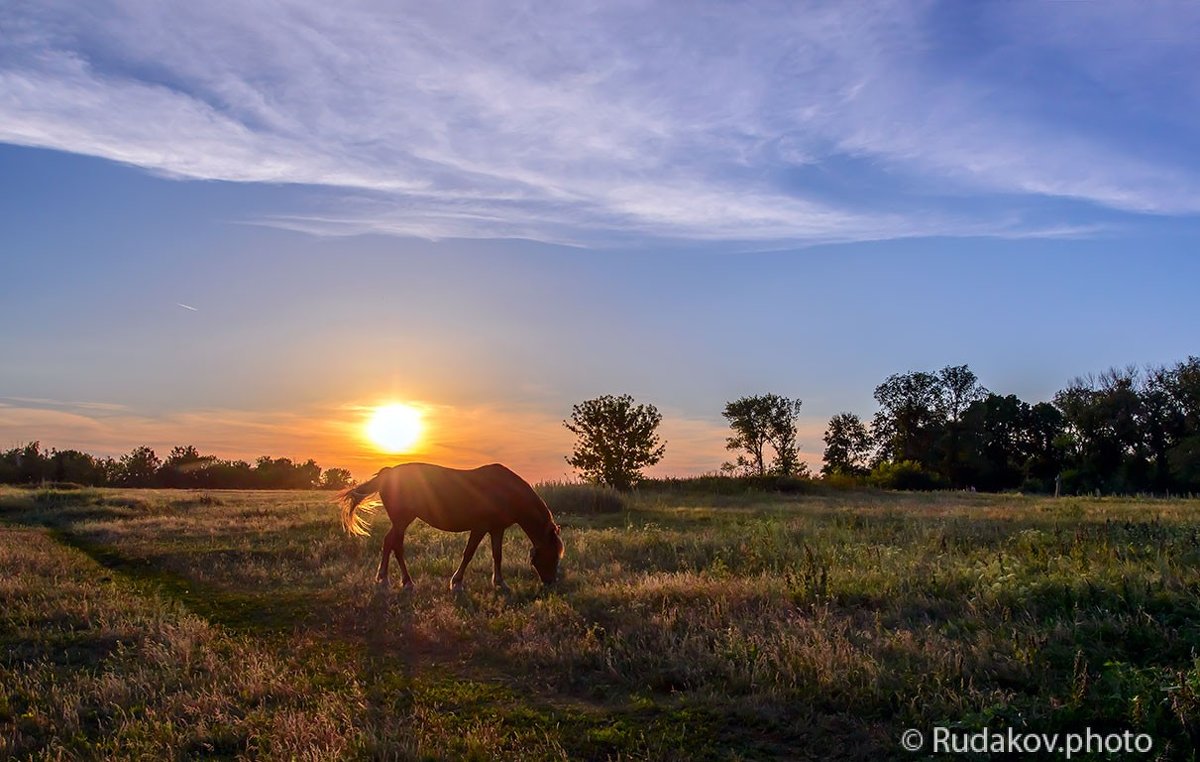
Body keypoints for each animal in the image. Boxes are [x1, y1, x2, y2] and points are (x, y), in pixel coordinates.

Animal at [338, 463, 561, 592]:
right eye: (553, 555)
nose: (550, 582)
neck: (505, 490)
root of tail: (388, 474)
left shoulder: (496, 529)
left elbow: (497, 555)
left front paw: (500, 582)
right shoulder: (479, 528)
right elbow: (468, 553)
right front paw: (457, 583)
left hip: (401, 521)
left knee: (389, 543)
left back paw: (385, 579)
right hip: (402, 520)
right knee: (396, 545)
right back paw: (405, 582)